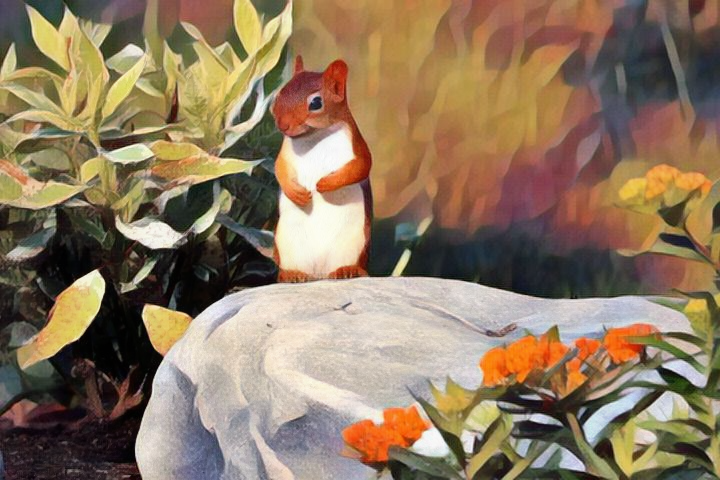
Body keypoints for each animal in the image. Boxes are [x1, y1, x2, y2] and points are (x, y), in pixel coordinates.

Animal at [271, 56, 372, 282]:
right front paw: (296, 193)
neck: (314, 136)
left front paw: (325, 183)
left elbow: (361, 167)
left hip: (357, 243)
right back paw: (291, 274)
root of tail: (320, 273)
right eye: (279, 93)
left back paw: (348, 270)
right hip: (284, 242)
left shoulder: (358, 147)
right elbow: (279, 169)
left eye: (316, 103)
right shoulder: (284, 153)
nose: (282, 125)